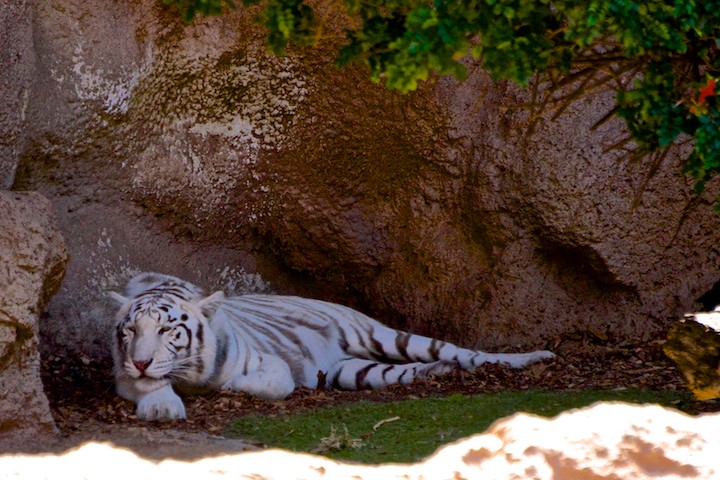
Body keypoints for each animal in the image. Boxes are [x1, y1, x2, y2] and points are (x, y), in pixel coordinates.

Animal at [110, 272, 555, 421]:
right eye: (129, 330)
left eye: (168, 330)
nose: (142, 360)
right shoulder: (124, 373)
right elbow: (151, 386)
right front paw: (162, 406)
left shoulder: (268, 360)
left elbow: (275, 384)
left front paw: (230, 388)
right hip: (354, 371)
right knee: (403, 371)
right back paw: (438, 373)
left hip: (384, 336)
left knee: (465, 353)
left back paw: (532, 358)